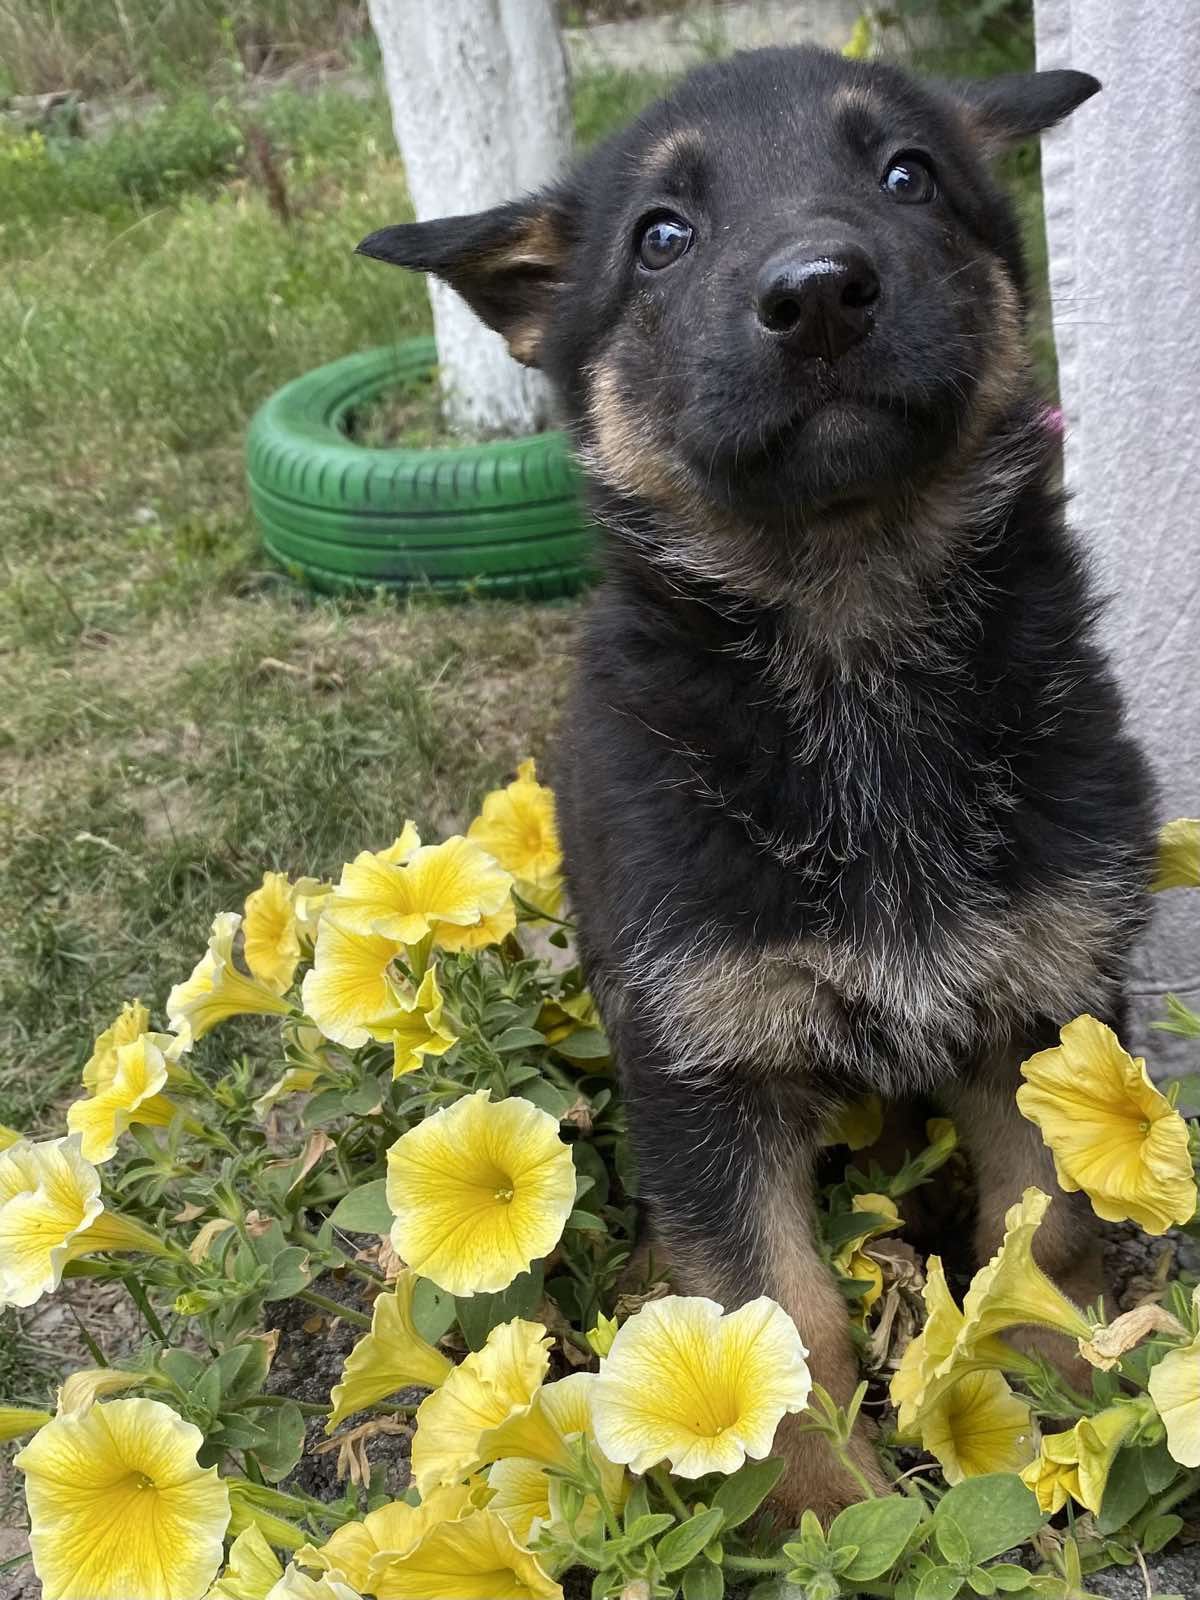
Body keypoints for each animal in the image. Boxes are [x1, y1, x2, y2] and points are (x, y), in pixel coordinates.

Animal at [361, 46, 1158, 1510]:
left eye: (907, 174)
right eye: (661, 238)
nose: (820, 292)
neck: (849, 639)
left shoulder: (1045, 1005)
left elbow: (1044, 1242)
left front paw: (1052, 1420)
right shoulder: (704, 1071)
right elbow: (777, 1321)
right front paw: (828, 1512)